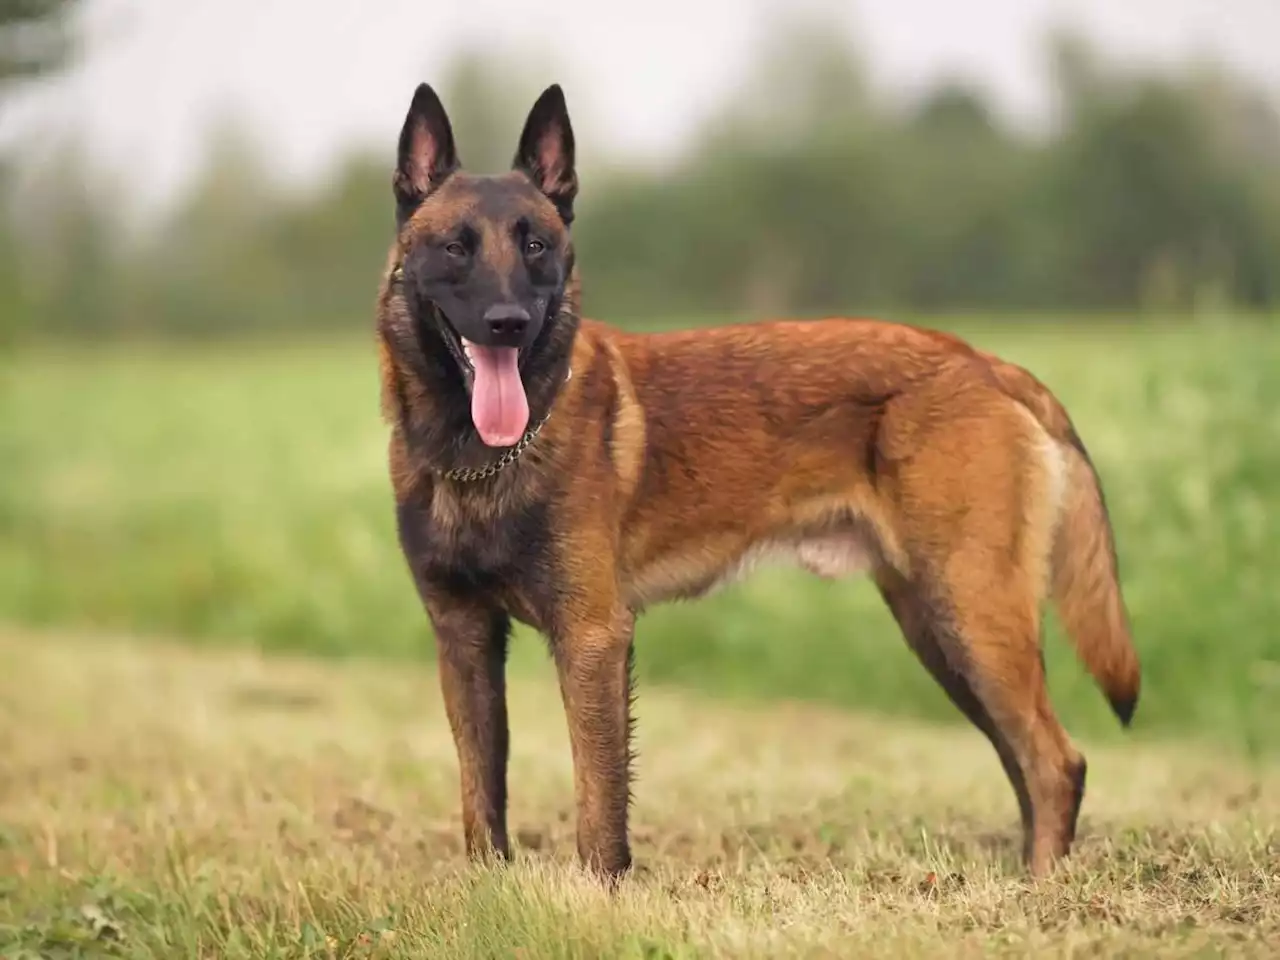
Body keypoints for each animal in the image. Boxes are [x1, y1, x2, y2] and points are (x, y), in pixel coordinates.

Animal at [373, 84, 1141, 885]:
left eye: (536, 247)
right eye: (456, 247)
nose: (508, 323)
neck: (477, 458)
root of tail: (988, 364)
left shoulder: (591, 637)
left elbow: (598, 802)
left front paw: (600, 896)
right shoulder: (464, 638)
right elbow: (481, 793)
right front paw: (488, 890)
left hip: (972, 616)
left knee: (1055, 762)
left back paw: (1042, 888)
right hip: (941, 630)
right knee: (1023, 760)